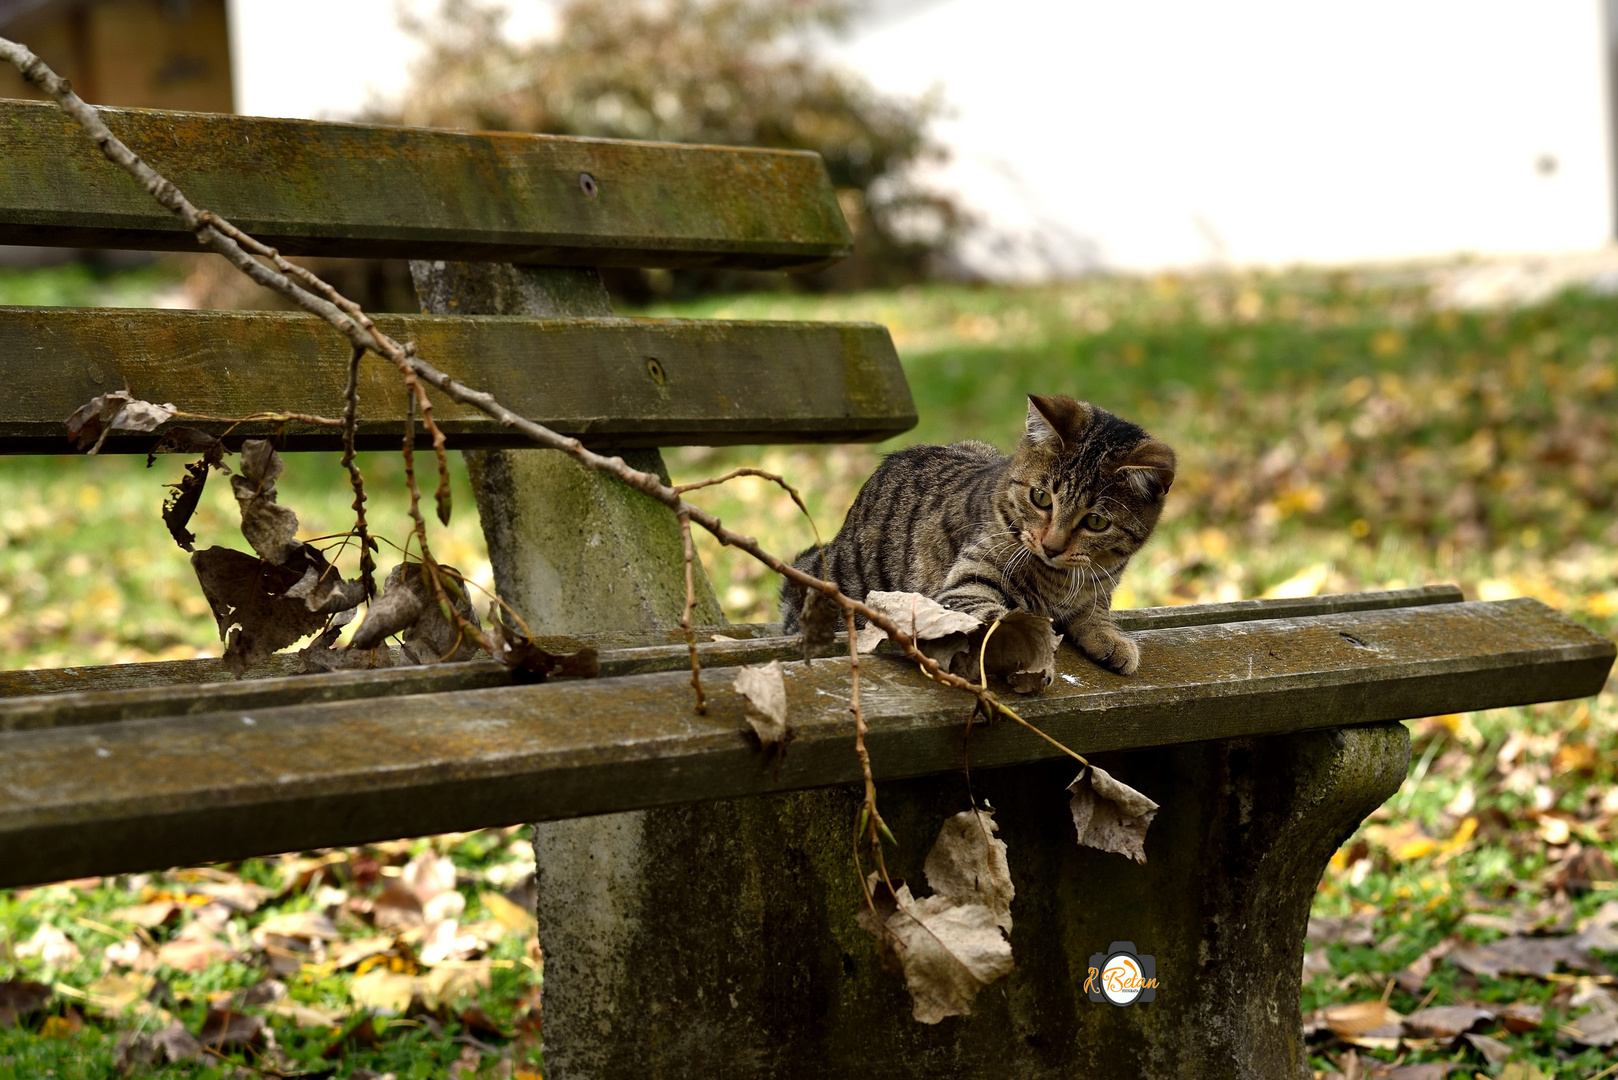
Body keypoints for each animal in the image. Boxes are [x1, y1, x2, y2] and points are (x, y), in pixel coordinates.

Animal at [783, 396, 1177, 676]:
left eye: (1095, 522)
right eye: (1041, 498)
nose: (1050, 547)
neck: (1061, 580)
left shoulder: (1098, 588)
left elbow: (1096, 613)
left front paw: (1109, 638)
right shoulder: (965, 588)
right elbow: (1003, 619)